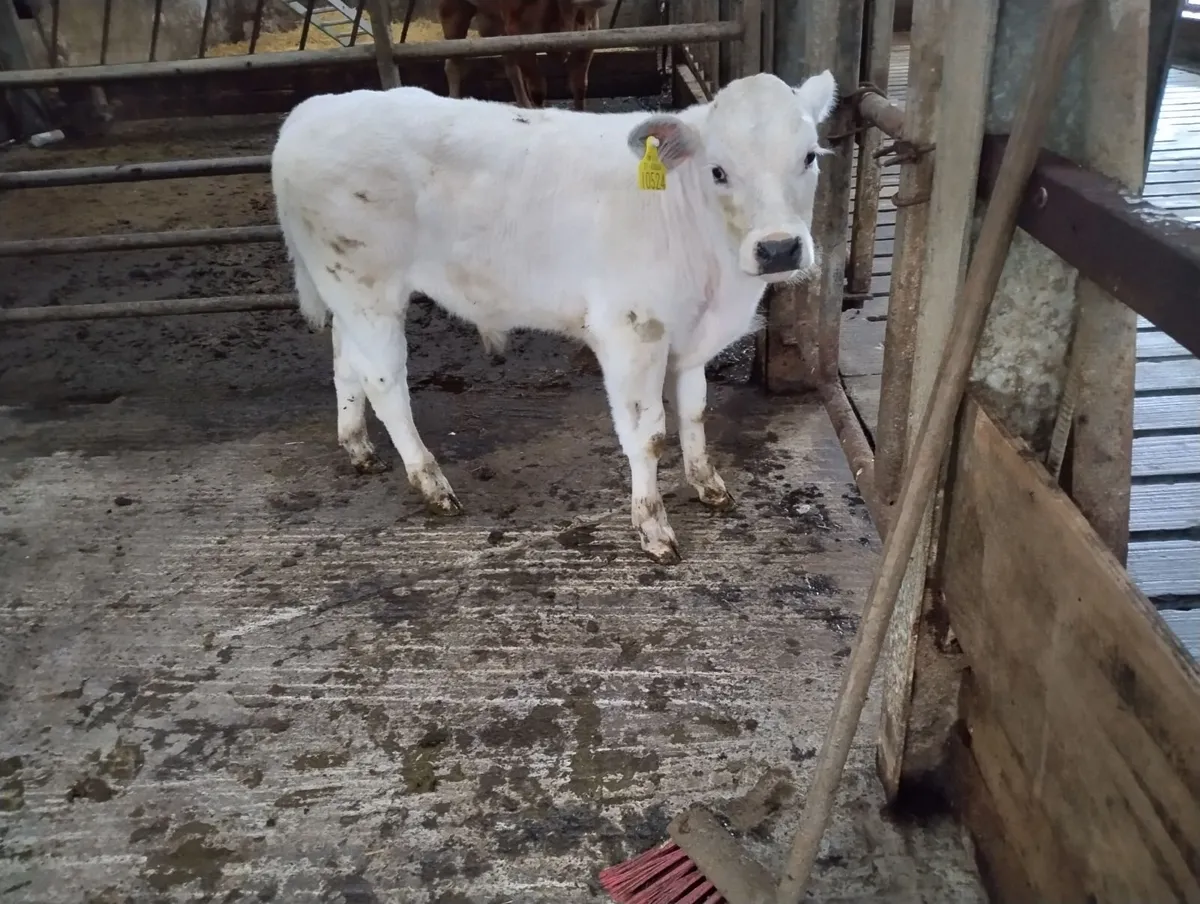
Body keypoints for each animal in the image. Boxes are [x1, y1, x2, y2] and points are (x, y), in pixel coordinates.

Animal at [271, 69, 837, 563]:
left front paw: (707, 482)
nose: (779, 248)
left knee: (347, 359)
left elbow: (696, 411)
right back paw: (431, 483)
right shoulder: (632, 331)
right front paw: (652, 527)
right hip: (367, 286)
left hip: (346, 289)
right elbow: (649, 435)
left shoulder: (689, 333)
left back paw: (357, 446)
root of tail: (310, 110)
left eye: (809, 156)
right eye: (718, 170)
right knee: (385, 381)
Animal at [439, 0, 609, 112]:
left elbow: (579, 87)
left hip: (493, 20)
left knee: (511, 67)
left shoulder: (589, 32)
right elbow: (537, 89)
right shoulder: (520, 31)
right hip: (454, 11)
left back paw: (524, 105)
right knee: (453, 63)